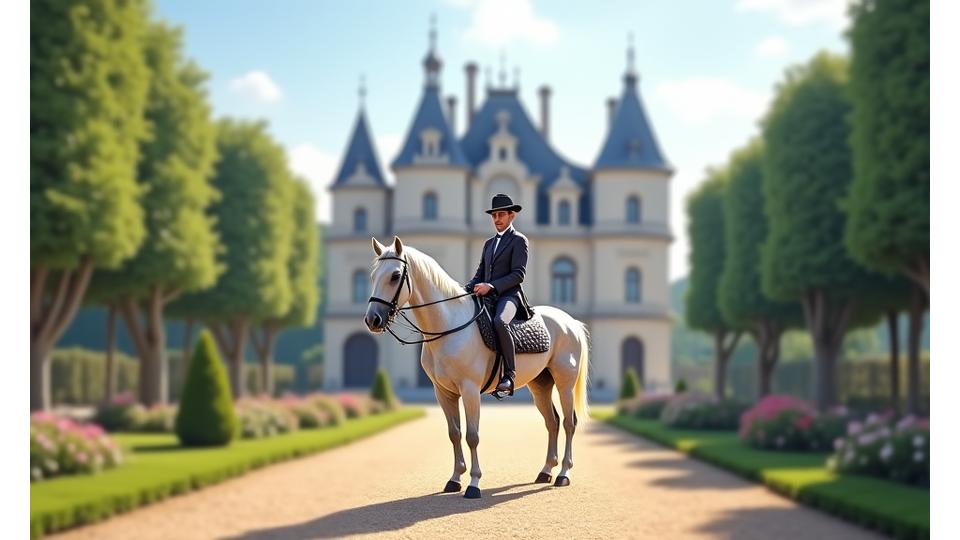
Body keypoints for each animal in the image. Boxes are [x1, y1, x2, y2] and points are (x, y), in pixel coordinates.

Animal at [364, 236, 590, 499]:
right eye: (372, 276)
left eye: (395, 275)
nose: (372, 320)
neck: (449, 326)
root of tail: (569, 321)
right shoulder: (443, 392)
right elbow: (454, 433)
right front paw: (454, 479)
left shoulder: (470, 390)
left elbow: (472, 436)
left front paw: (474, 483)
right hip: (540, 385)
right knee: (552, 422)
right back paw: (545, 471)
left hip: (564, 384)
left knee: (568, 423)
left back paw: (563, 473)